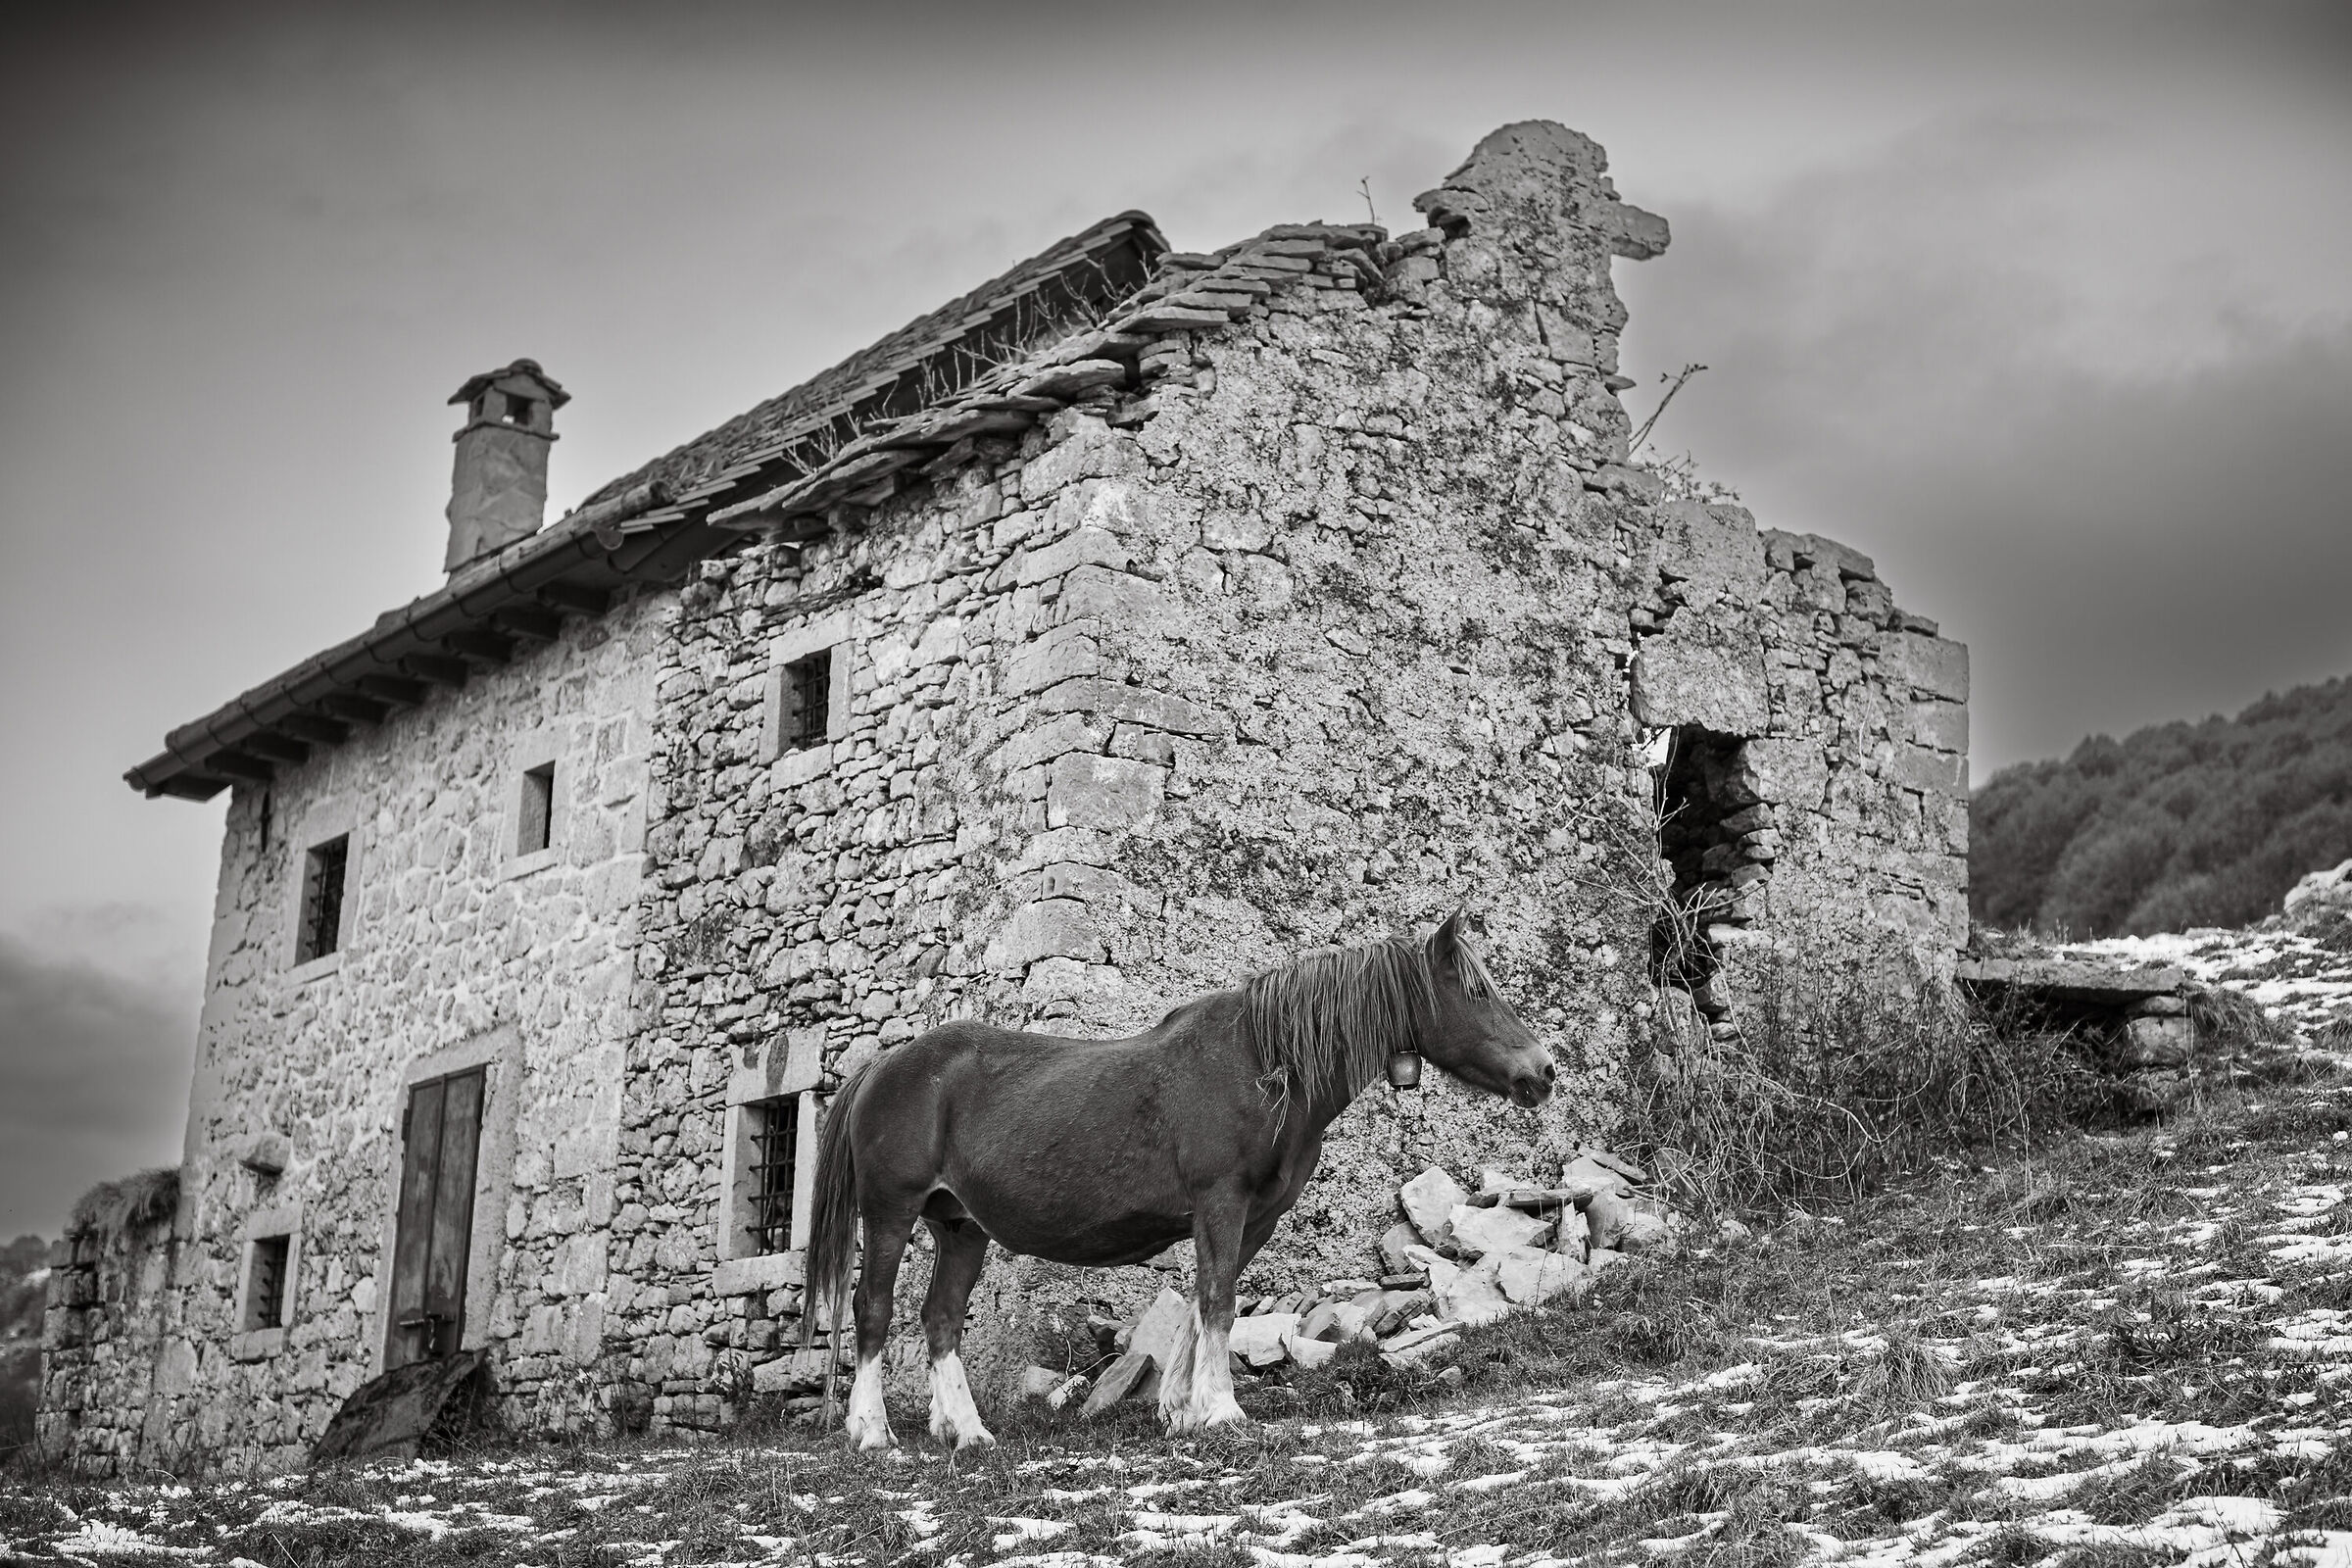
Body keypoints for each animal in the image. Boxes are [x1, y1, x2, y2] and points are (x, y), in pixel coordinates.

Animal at [801, 909, 1555, 1449]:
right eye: (1477, 990)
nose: (1543, 1072)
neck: (1262, 1062)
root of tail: (883, 1067)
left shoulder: (1255, 1217)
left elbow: (1203, 1301)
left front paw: (1182, 1410)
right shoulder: (1220, 1204)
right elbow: (1218, 1301)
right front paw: (1220, 1410)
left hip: (960, 1228)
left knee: (941, 1319)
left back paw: (967, 1432)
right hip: (891, 1213)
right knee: (872, 1309)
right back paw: (873, 1433)